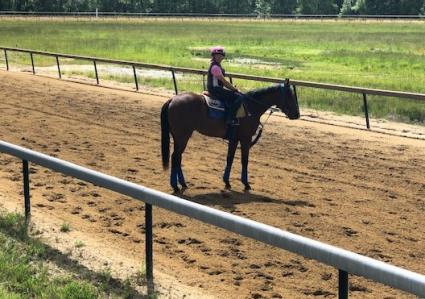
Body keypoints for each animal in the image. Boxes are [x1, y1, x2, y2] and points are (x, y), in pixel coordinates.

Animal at [161, 82, 300, 193]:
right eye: (290, 95)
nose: (297, 114)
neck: (251, 107)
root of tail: (172, 100)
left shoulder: (234, 139)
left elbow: (230, 159)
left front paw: (227, 182)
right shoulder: (245, 139)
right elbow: (244, 160)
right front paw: (246, 184)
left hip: (179, 137)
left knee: (178, 157)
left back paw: (183, 183)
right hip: (182, 136)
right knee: (175, 157)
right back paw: (175, 186)